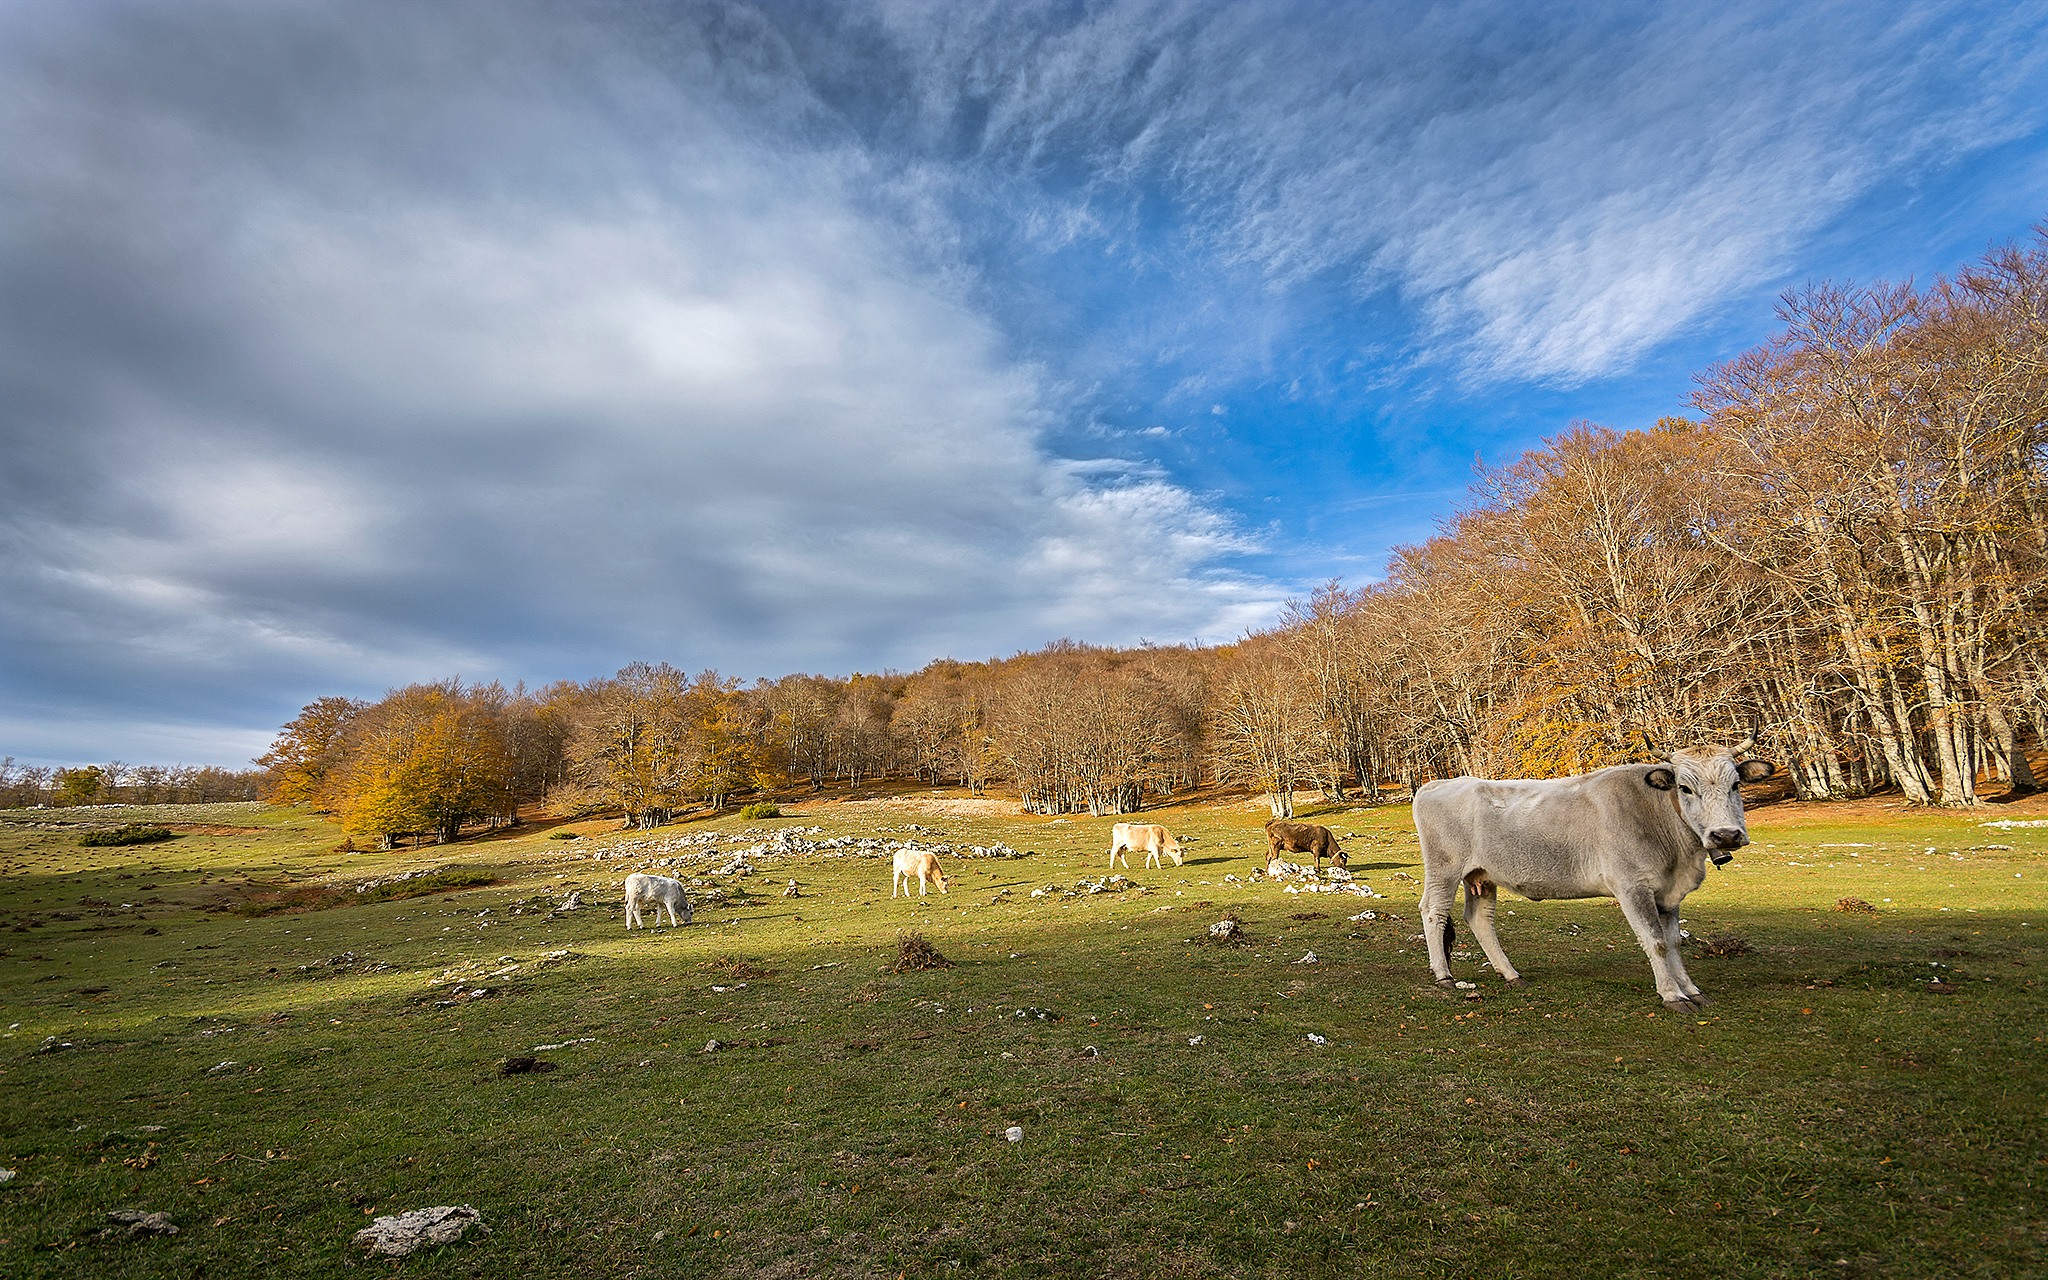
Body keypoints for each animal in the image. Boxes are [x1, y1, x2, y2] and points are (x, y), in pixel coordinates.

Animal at [1411, 738, 1774, 1012]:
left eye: (1736, 784)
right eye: (1684, 788)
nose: (1725, 835)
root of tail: (1439, 782)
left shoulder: (1668, 893)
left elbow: (1673, 942)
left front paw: (1693, 990)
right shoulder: (1632, 887)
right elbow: (1655, 942)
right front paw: (1673, 995)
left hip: (1482, 876)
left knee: (1480, 919)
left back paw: (1511, 974)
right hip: (1444, 868)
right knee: (1434, 911)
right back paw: (1444, 976)